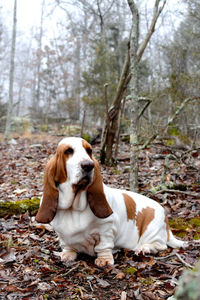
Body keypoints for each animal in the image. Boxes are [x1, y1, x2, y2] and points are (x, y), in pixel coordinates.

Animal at [35, 137, 187, 266]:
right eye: (68, 151)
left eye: (89, 150)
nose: (88, 165)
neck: (74, 207)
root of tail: (165, 217)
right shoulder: (62, 235)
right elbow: (67, 246)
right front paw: (67, 255)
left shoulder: (106, 230)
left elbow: (104, 246)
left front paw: (104, 260)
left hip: (151, 228)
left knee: (161, 244)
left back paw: (145, 249)